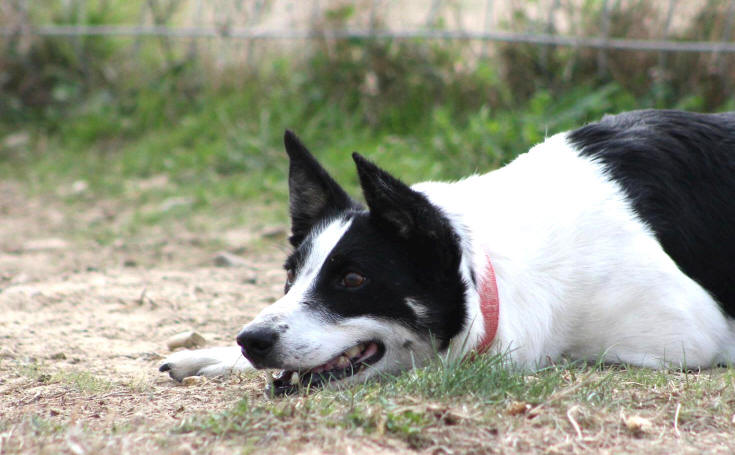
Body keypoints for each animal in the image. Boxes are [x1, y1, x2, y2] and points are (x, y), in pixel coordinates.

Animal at [162, 110, 735, 396]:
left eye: (352, 281)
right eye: (290, 276)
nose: (252, 341)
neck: (491, 270)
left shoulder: (682, 338)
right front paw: (214, 354)